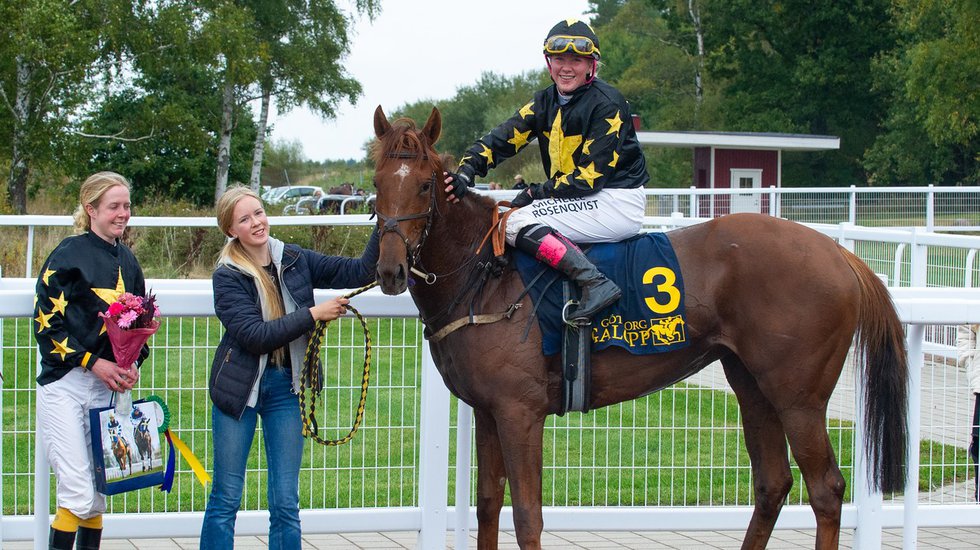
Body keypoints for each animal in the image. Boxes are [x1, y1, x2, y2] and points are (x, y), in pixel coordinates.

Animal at [372, 105, 908, 548]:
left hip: (798, 397)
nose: (391, 270)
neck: (486, 274)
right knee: (772, 483)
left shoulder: (520, 412)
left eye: (425, 184)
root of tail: (841, 254)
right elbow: (487, 507)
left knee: (827, 490)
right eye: (377, 184)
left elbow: (526, 517)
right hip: (752, 386)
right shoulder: (488, 411)